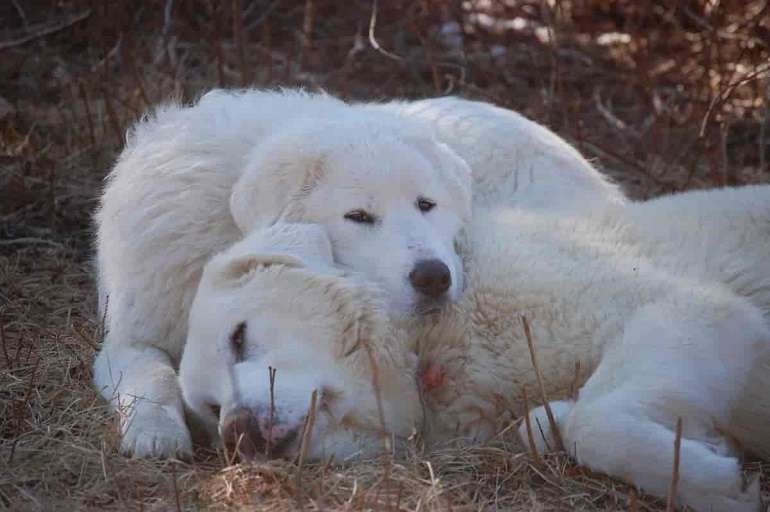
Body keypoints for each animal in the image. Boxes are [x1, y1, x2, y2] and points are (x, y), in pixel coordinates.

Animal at [94, 87, 624, 456]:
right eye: (359, 217)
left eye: (426, 205)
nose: (434, 277)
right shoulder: (130, 335)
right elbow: (151, 373)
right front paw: (155, 433)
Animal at [184, 185, 768, 512]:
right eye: (211, 407)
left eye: (239, 336)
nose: (239, 433)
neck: (430, 336)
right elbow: (545, 424)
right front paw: (713, 451)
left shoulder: (681, 308)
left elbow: (598, 420)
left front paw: (722, 484)